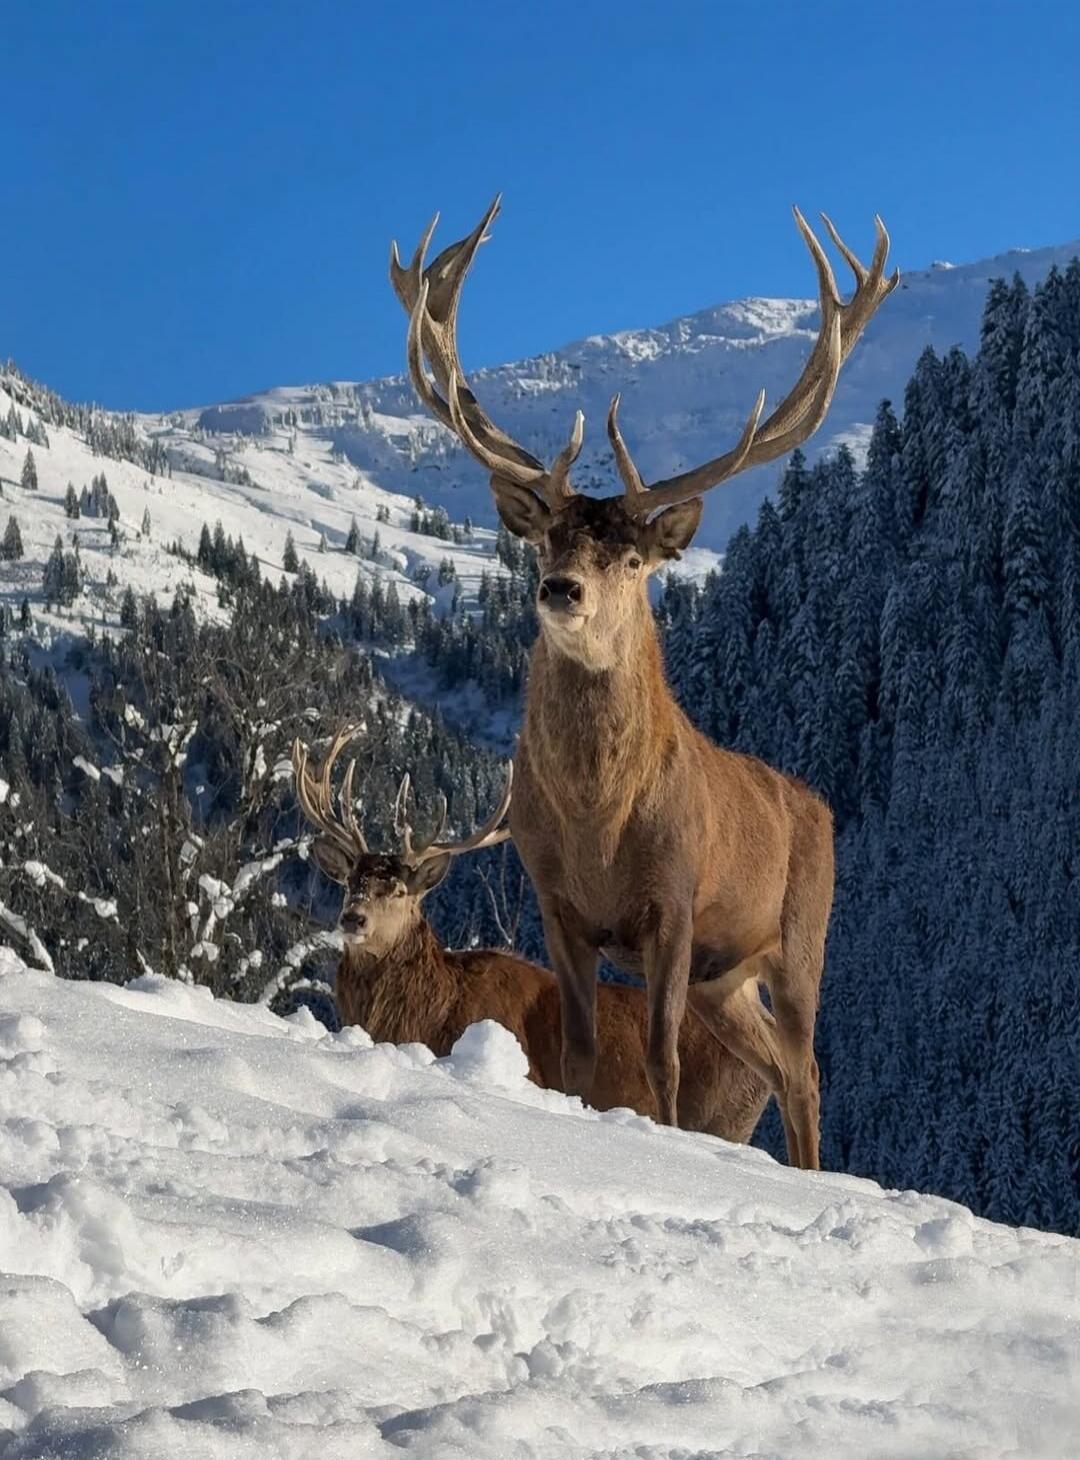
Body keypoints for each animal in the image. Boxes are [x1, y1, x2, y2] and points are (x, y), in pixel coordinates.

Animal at [389, 197, 898, 1169]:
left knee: (807, 1068)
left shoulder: (675, 901)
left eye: (631, 557)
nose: (561, 589)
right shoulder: (557, 903)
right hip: (723, 980)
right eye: (544, 540)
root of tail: (818, 806)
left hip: (801, 937)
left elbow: (660, 1061)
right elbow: (583, 1053)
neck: (599, 824)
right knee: (775, 1063)